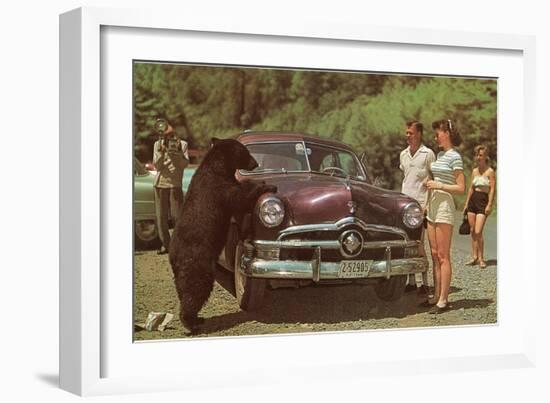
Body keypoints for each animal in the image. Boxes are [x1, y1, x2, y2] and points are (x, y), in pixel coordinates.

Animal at [169, 137, 276, 332]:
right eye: (246, 152)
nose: (256, 163)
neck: (218, 168)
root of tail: (173, 256)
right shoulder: (220, 188)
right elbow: (241, 197)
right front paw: (266, 185)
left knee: (183, 288)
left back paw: (194, 319)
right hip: (198, 262)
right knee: (196, 288)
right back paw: (192, 322)